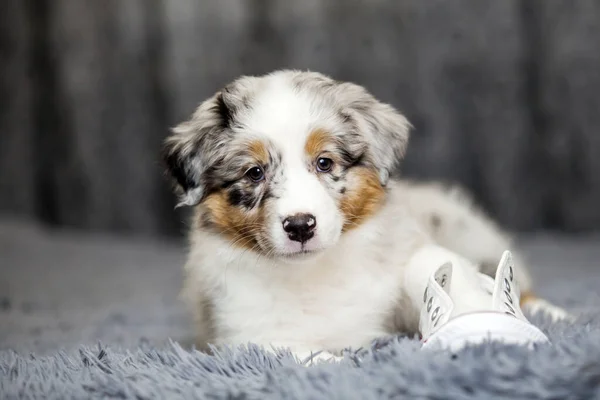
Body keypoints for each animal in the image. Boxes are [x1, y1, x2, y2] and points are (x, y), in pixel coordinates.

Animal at [163, 70, 568, 360]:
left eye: (325, 163)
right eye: (254, 173)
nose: (300, 226)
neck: (313, 273)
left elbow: (430, 261)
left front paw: (480, 320)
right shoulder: (241, 332)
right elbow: (295, 355)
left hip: (465, 229)